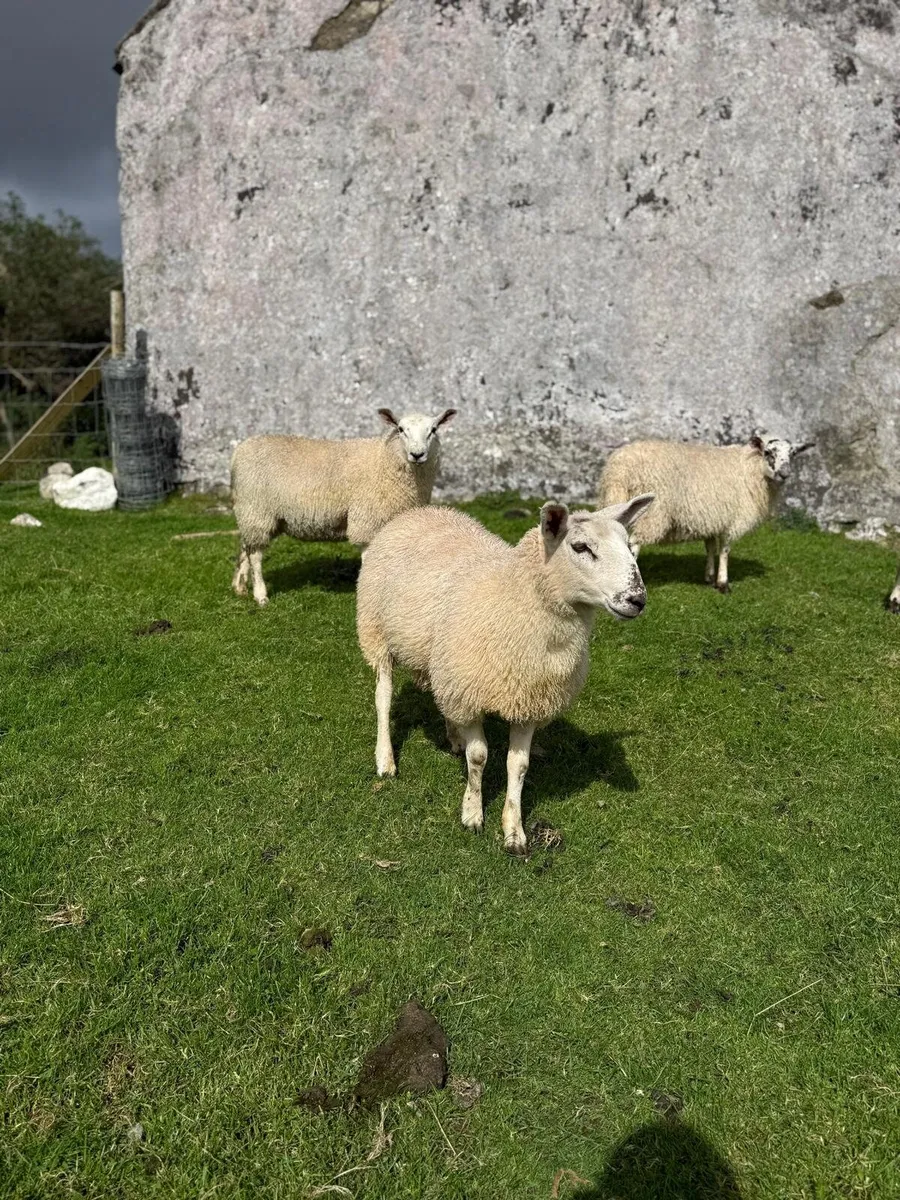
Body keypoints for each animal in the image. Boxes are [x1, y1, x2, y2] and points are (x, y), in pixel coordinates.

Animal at [231, 407, 456, 605]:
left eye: (433, 430)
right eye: (401, 429)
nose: (417, 454)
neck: (385, 460)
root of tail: (238, 451)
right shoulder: (367, 521)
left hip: (255, 515)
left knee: (245, 547)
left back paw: (239, 587)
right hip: (257, 510)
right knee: (255, 555)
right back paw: (260, 595)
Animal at [356, 493, 654, 854]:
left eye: (630, 547)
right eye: (580, 547)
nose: (637, 600)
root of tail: (420, 512)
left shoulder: (528, 699)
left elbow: (518, 765)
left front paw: (514, 830)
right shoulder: (472, 693)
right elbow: (479, 757)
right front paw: (472, 813)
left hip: (442, 662)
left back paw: (453, 736)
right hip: (376, 632)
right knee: (383, 697)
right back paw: (385, 760)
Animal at [597, 434, 814, 593]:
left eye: (793, 454)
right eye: (769, 452)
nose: (784, 474)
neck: (751, 468)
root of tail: (619, 470)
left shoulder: (711, 519)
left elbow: (710, 548)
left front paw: (709, 577)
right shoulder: (731, 519)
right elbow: (725, 550)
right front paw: (723, 583)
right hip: (653, 513)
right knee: (634, 544)